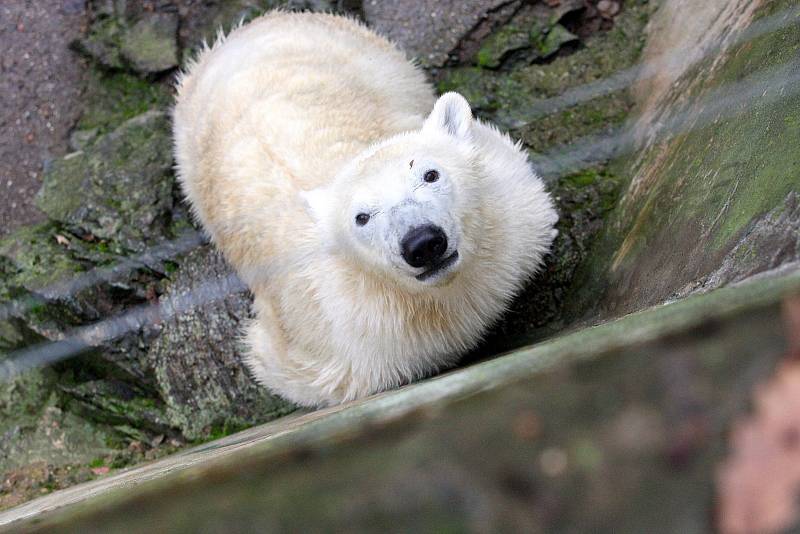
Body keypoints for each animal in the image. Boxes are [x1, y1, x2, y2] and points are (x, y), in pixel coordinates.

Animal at [173, 11, 556, 406]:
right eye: (361, 217)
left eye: (430, 174)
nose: (422, 243)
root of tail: (243, 30)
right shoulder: (340, 345)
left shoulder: (516, 213)